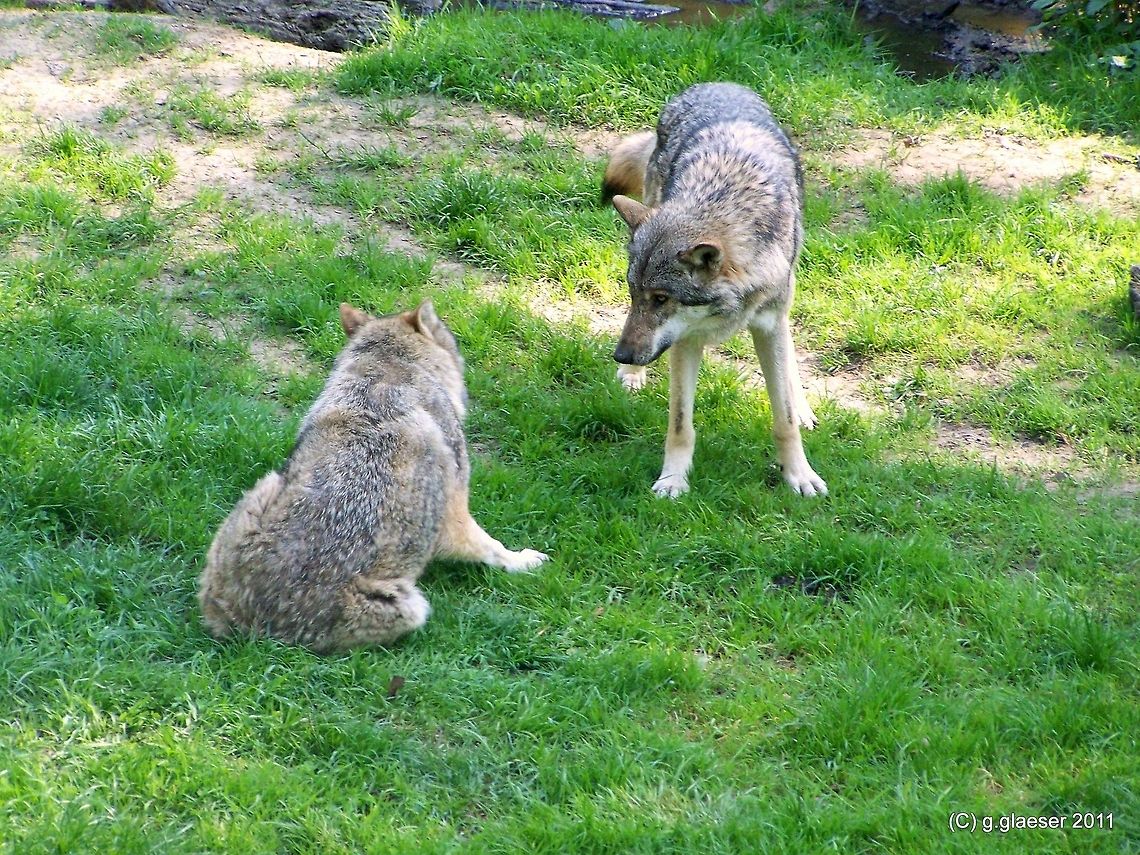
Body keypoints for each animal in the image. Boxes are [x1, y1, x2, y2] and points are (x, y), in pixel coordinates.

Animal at [198, 301, 547, 653]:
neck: (384, 370)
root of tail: (251, 628)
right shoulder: (454, 512)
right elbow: (491, 547)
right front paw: (522, 561)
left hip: (265, 488)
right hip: (412, 606)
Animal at [602, 82, 826, 498]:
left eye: (662, 299)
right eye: (634, 294)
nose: (621, 355)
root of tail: (715, 84)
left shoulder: (768, 324)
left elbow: (784, 420)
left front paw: (799, 475)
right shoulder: (685, 339)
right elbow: (680, 425)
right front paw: (672, 480)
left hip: (787, 294)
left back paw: (802, 404)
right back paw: (633, 377)